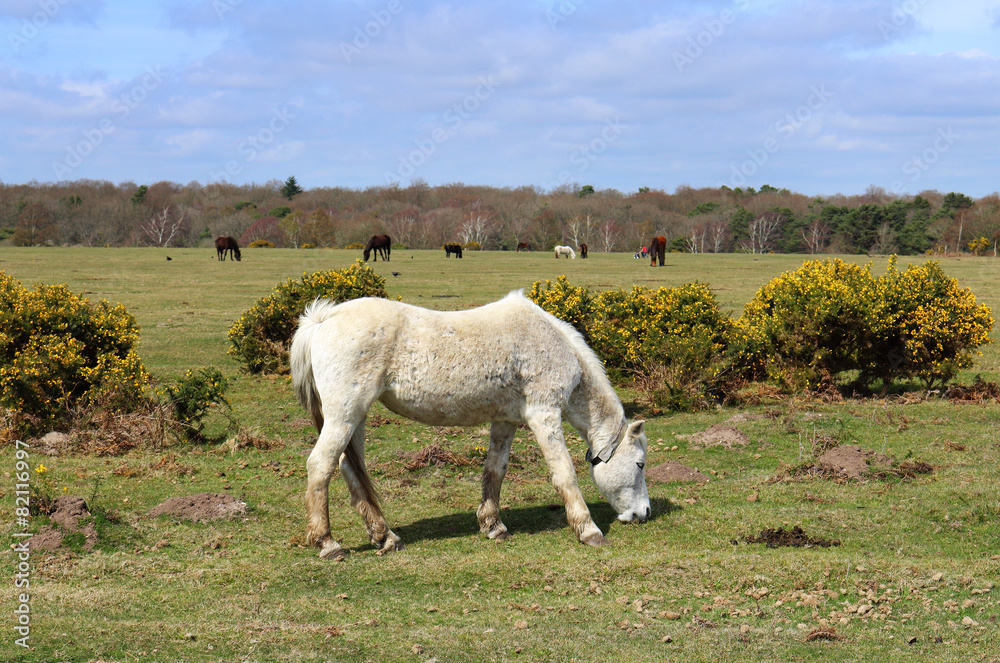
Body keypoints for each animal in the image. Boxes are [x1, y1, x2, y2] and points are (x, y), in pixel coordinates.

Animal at [290, 292, 650, 560]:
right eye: (640, 464)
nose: (644, 513)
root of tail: (323, 320)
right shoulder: (544, 415)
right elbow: (564, 473)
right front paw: (589, 530)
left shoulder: (505, 420)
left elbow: (495, 470)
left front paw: (493, 526)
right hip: (344, 415)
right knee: (320, 466)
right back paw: (328, 543)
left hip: (356, 418)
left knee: (350, 470)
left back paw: (386, 537)